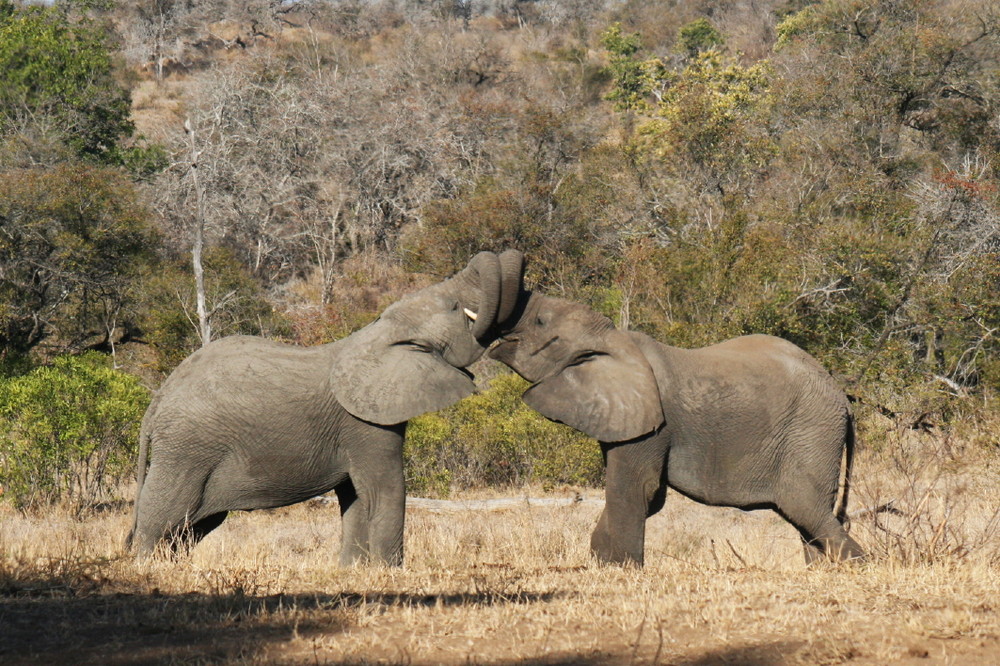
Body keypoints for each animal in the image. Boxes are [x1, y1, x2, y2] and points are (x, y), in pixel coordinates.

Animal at [127, 250, 524, 564]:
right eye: (454, 307)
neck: (377, 336)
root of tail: (158, 399)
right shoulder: (364, 424)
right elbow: (385, 491)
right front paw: (389, 573)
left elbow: (356, 499)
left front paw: (352, 570)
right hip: (188, 448)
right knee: (162, 514)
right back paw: (146, 568)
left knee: (191, 526)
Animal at [492, 290, 868, 564]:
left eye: (540, 321)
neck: (613, 340)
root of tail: (844, 399)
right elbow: (645, 494)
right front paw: (601, 563)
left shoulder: (653, 424)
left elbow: (638, 488)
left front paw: (620, 570)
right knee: (808, 517)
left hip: (812, 431)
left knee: (806, 509)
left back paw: (860, 565)